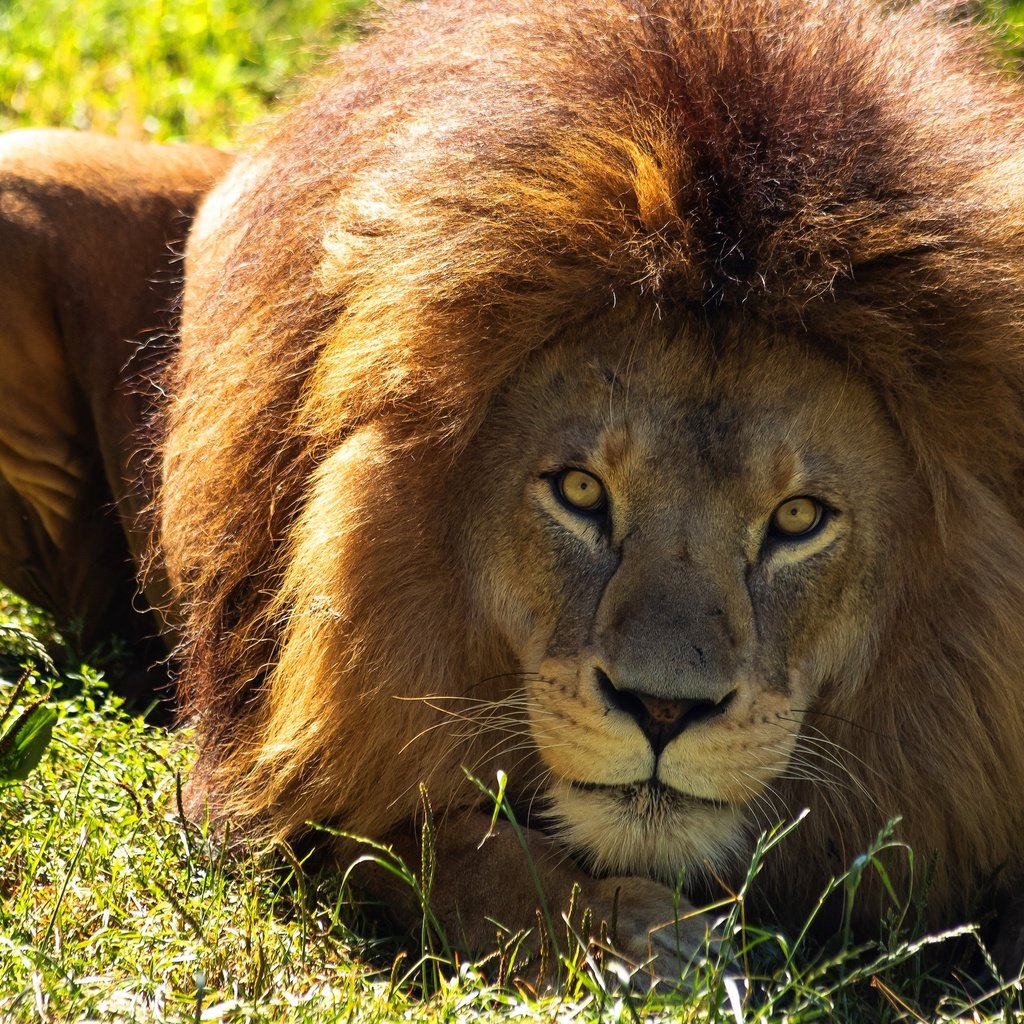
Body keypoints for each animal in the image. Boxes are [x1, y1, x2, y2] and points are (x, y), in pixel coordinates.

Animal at [6, 0, 1024, 983]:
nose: (664, 712)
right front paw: (635, 939)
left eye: (798, 519)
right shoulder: (277, 772)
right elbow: (441, 850)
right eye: (579, 491)